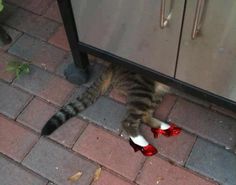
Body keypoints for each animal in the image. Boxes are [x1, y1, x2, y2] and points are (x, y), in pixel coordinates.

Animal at [41, 63, 181, 156]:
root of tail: (113, 65)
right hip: (143, 87)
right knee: (129, 121)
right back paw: (142, 141)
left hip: (157, 92)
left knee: (145, 115)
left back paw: (162, 126)